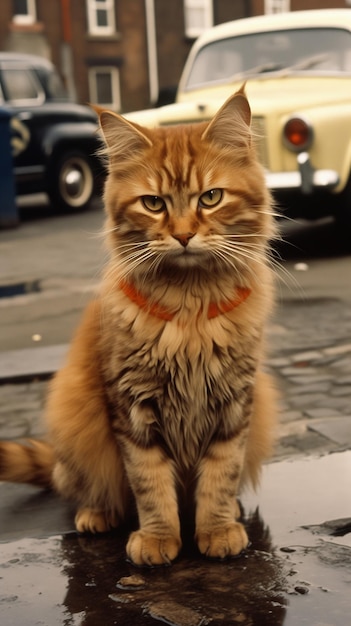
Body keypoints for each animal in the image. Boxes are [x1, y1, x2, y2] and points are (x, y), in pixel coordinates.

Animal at [0, 89, 278, 564]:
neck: (189, 305)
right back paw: (97, 514)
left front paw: (217, 528)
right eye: (154, 204)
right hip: (73, 416)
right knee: (83, 488)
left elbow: (220, 475)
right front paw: (158, 537)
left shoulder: (235, 404)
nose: (183, 235)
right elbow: (150, 483)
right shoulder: (132, 407)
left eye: (211, 198)